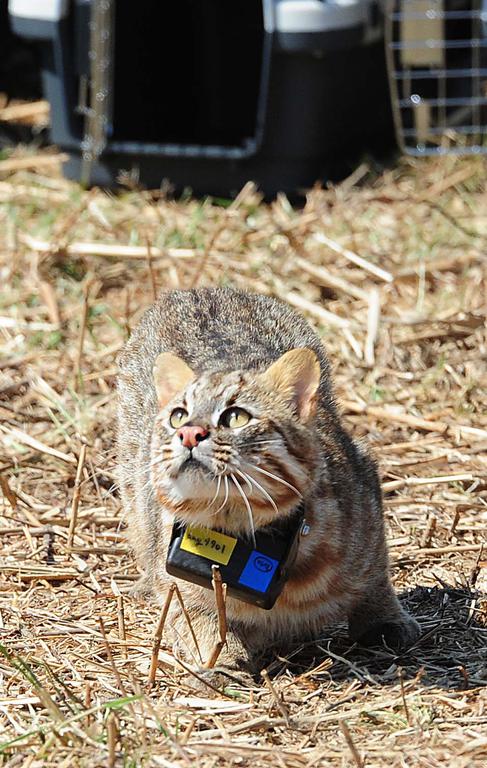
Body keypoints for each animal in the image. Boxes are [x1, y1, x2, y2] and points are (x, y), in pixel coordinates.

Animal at [117, 286, 420, 672]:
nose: (188, 434)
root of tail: (199, 288)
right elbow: (194, 615)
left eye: (235, 417)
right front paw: (221, 656)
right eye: (178, 416)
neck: (242, 524)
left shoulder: (365, 484)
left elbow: (376, 572)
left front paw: (385, 618)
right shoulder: (175, 576)